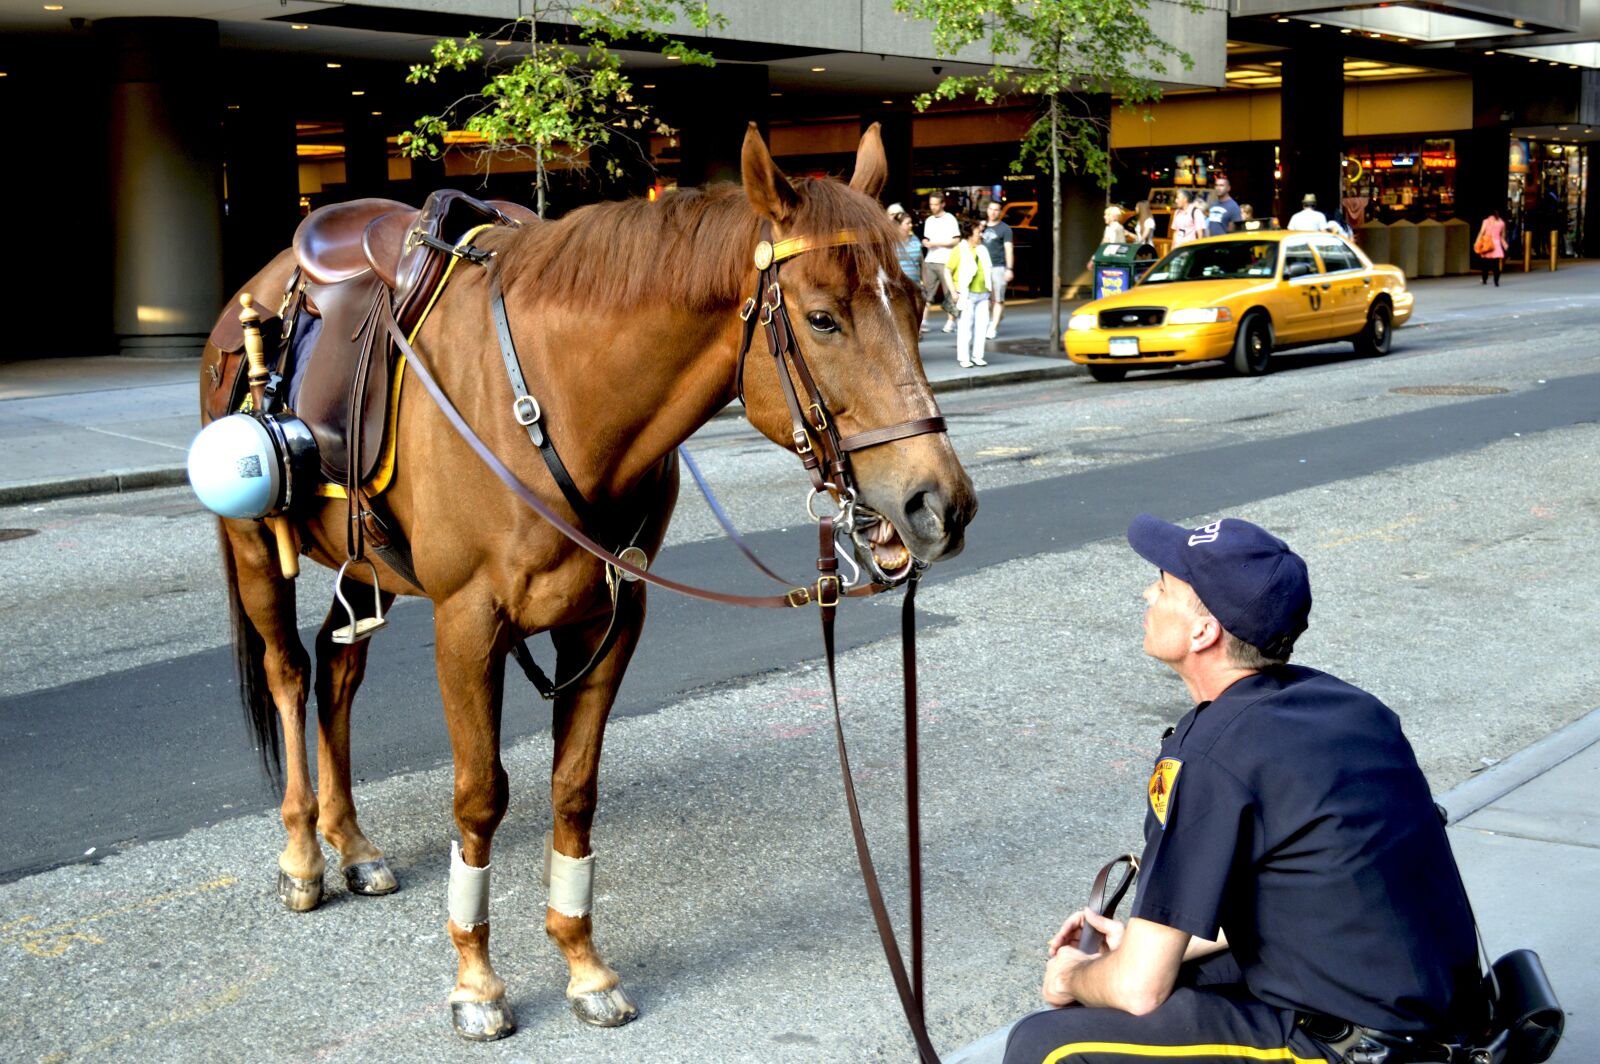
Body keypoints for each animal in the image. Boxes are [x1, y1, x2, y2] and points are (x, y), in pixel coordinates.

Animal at [206, 122, 977, 1041]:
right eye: (822, 318)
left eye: (920, 305)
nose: (939, 503)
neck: (556, 401)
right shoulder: (469, 624)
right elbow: (480, 798)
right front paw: (476, 979)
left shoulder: (609, 618)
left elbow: (574, 792)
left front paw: (580, 959)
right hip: (255, 548)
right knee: (290, 673)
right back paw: (302, 851)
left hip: (368, 565)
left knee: (339, 669)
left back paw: (351, 843)